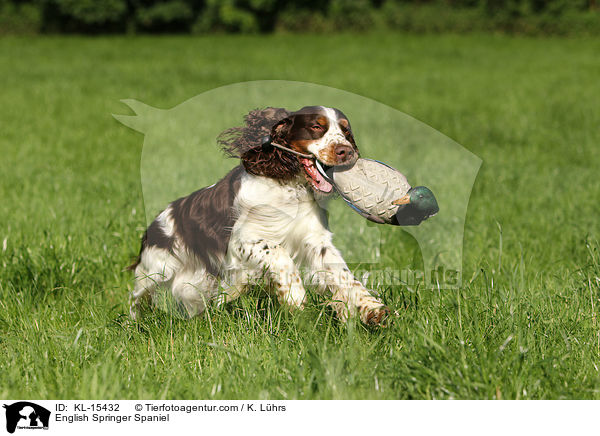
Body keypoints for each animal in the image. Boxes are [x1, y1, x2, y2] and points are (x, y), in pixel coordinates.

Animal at [129, 105, 390, 326]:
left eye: (346, 131)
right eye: (317, 127)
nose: (346, 151)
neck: (290, 188)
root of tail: (158, 221)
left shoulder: (316, 241)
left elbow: (344, 275)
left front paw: (372, 309)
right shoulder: (243, 241)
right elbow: (280, 255)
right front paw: (294, 297)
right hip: (156, 269)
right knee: (136, 297)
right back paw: (133, 325)